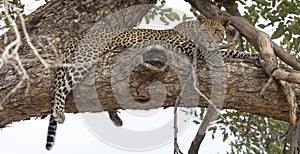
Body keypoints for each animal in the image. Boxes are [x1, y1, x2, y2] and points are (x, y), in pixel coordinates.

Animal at [45, 14, 258, 150]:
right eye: (206, 31)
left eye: (217, 31)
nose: (211, 41)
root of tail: (80, 35)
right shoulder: (185, 46)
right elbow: (219, 53)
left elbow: (230, 52)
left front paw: (253, 56)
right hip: (86, 58)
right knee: (61, 85)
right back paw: (58, 112)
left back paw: (115, 118)